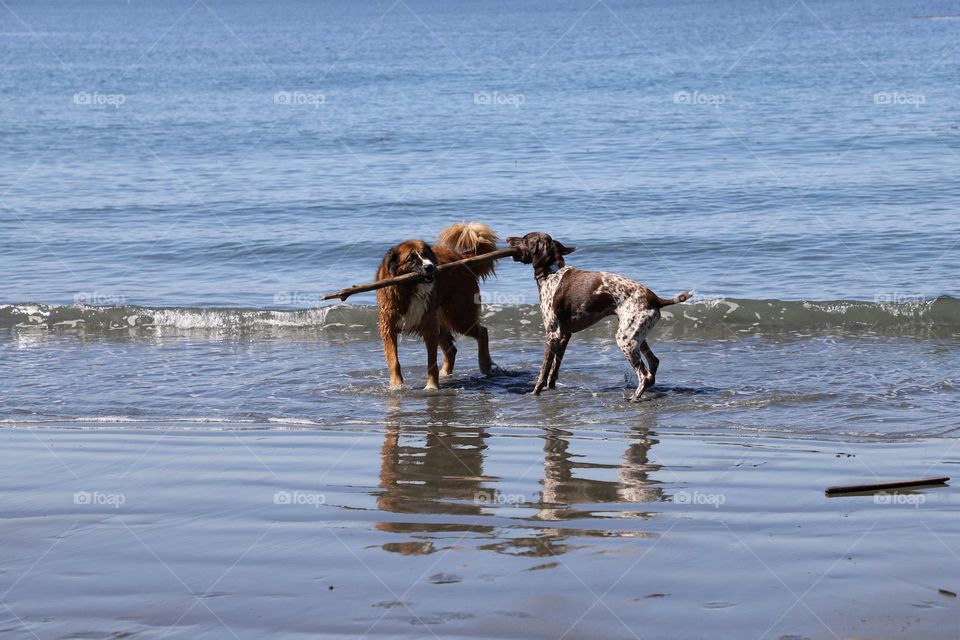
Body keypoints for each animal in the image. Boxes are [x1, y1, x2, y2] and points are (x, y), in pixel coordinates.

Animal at [376, 220, 498, 390]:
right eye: (411, 259)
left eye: (425, 255)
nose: (430, 267)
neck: (410, 288)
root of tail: (460, 257)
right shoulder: (389, 327)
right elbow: (393, 360)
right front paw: (397, 385)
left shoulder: (429, 328)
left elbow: (431, 362)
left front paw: (432, 386)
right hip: (444, 319)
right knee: (451, 350)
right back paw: (446, 373)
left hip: (459, 316)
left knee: (482, 332)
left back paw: (484, 364)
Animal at [510, 230, 688, 400]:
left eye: (525, 238)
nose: (507, 239)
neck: (552, 272)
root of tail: (656, 299)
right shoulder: (564, 335)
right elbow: (554, 370)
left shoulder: (552, 335)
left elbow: (544, 371)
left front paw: (535, 392)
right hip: (636, 335)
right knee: (653, 363)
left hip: (626, 340)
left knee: (644, 375)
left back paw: (634, 398)